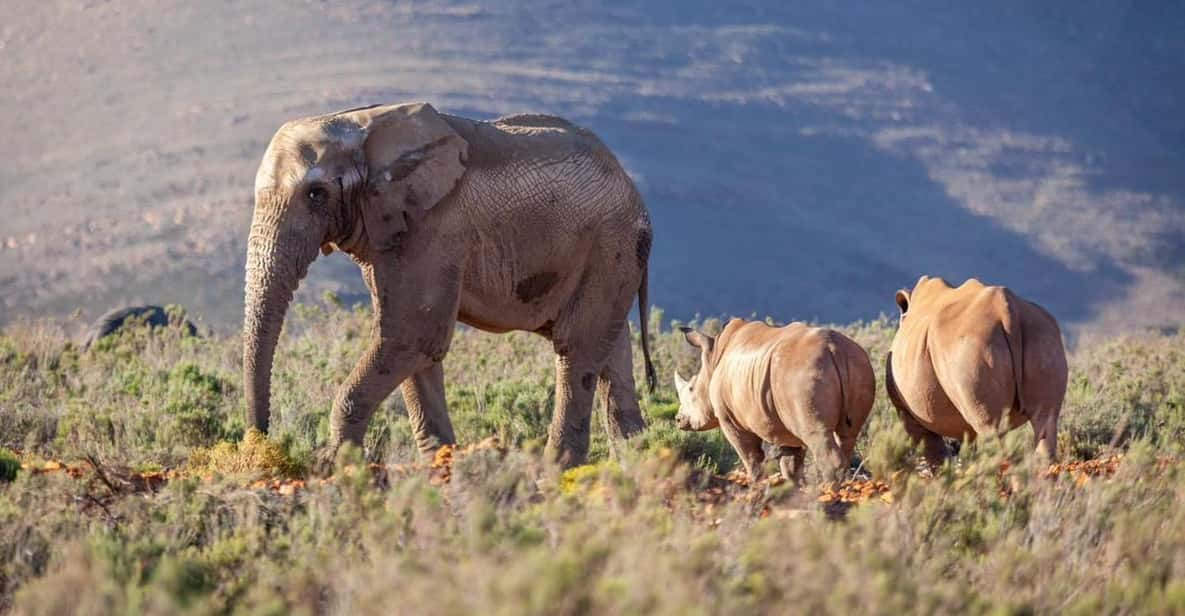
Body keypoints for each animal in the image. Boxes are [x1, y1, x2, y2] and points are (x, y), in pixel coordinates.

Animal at [242, 102, 658, 466]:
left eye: (316, 194)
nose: (260, 445)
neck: (361, 127)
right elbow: (412, 348)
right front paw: (441, 468)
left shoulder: (433, 232)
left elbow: (412, 336)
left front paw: (345, 472)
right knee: (610, 353)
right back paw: (637, 465)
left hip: (610, 245)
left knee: (576, 350)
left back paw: (557, 475)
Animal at [673, 319, 876, 483]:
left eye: (691, 389)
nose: (678, 420)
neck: (713, 358)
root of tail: (835, 349)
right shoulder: (783, 422)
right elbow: (790, 465)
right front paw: (793, 490)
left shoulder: (729, 419)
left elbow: (751, 457)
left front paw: (756, 486)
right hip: (857, 363)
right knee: (847, 436)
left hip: (803, 373)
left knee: (818, 435)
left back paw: (827, 493)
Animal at [886, 277, 1071, 464]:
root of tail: (1006, 311)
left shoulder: (907, 410)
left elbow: (929, 446)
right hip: (1042, 335)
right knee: (1045, 419)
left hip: (970, 345)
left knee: (990, 426)